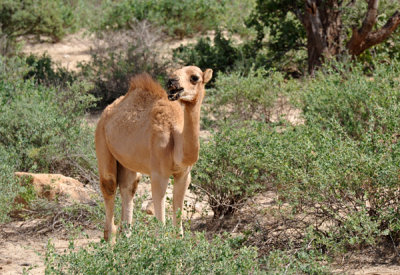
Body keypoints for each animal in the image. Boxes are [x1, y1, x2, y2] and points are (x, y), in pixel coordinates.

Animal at [95, 65, 212, 242]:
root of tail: (106, 111)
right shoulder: (158, 174)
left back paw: (126, 238)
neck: (175, 136)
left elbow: (178, 220)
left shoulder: (184, 174)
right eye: (174, 72)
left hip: (127, 161)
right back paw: (111, 242)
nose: (172, 82)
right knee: (109, 186)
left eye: (195, 77)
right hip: (101, 140)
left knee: (129, 187)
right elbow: (161, 221)